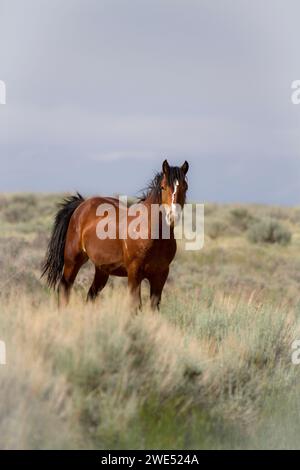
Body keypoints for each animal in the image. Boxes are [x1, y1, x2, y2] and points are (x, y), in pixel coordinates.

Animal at [42, 160, 189, 310]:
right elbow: (135, 306)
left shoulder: (160, 275)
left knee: (90, 295)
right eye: (163, 187)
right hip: (72, 261)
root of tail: (82, 204)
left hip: (102, 270)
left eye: (185, 187)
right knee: (65, 287)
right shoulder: (134, 274)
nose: (172, 217)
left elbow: (154, 306)